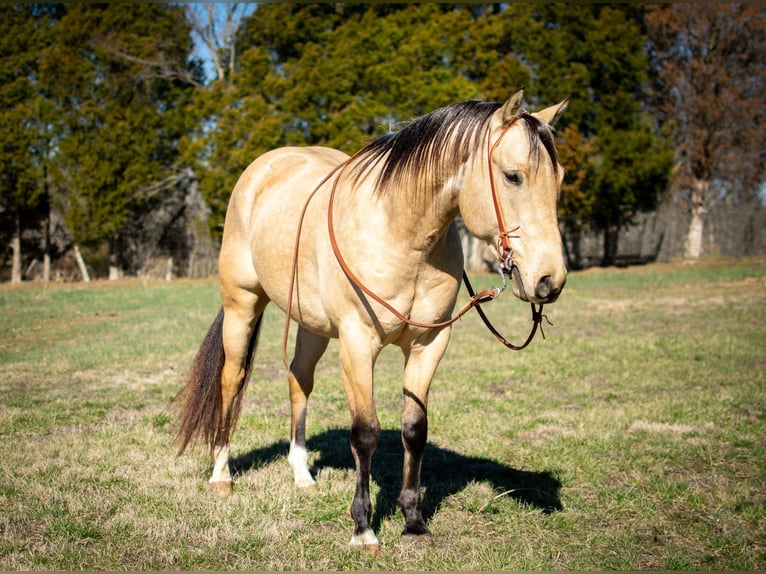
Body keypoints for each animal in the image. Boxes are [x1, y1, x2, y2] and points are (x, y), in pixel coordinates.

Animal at [177, 88, 568, 552]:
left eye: (560, 178)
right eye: (512, 176)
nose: (550, 280)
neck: (403, 235)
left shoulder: (428, 346)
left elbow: (414, 429)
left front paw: (414, 521)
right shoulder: (358, 344)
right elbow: (365, 433)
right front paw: (363, 528)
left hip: (312, 327)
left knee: (298, 380)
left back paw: (302, 474)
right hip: (242, 305)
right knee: (232, 380)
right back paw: (221, 476)